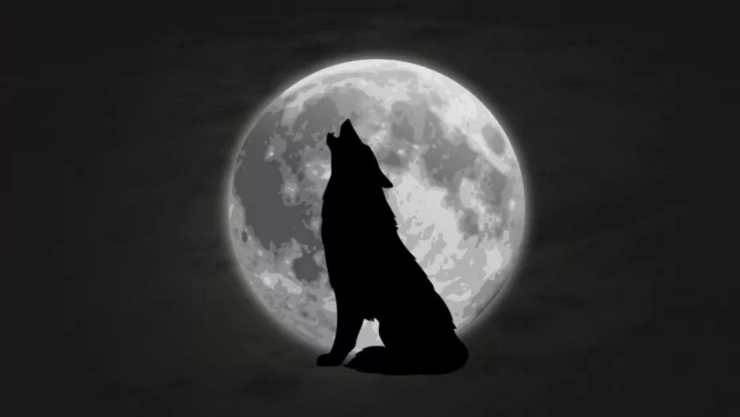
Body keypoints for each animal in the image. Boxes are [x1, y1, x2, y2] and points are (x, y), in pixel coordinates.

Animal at [316, 119, 468, 375]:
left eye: (363, 147)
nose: (348, 121)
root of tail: (457, 346)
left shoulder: (347, 295)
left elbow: (344, 337)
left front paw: (332, 360)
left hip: (389, 326)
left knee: (409, 363)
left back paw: (369, 360)